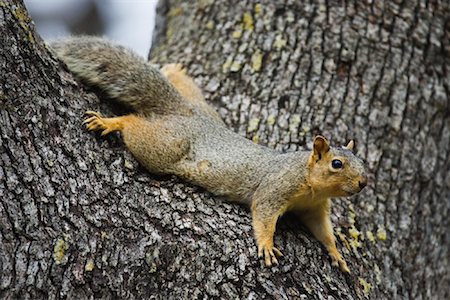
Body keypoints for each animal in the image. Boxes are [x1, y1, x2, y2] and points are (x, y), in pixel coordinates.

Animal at [51, 36, 370, 274]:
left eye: (362, 163)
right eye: (337, 164)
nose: (363, 183)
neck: (310, 181)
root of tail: (187, 114)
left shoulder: (314, 208)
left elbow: (323, 232)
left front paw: (336, 254)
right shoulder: (277, 187)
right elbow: (264, 214)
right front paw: (266, 245)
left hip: (203, 109)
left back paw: (175, 72)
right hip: (165, 147)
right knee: (134, 126)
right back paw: (112, 122)